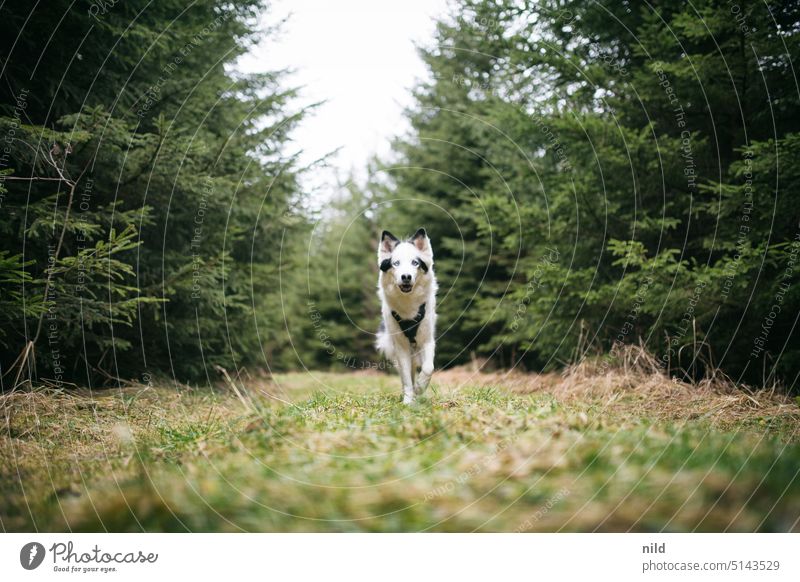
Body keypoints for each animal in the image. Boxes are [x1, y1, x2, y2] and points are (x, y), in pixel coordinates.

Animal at [376, 229, 438, 406]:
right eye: (396, 263)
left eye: (415, 263)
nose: (406, 277)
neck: (408, 304)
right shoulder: (400, 346)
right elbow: (405, 378)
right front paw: (408, 401)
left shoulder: (427, 340)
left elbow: (428, 368)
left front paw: (420, 387)